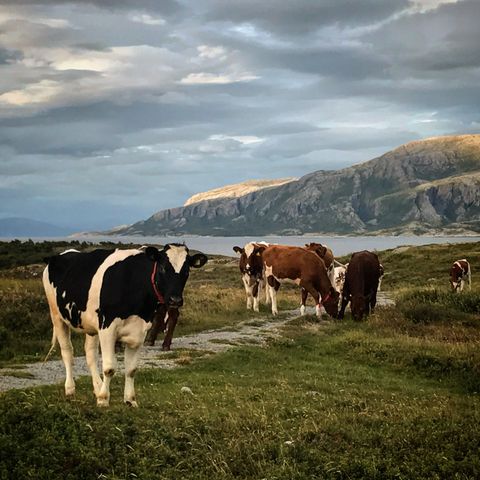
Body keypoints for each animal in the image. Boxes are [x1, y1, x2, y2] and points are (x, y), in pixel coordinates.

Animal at [45, 244, 208, 404]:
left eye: (186, 270)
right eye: (162, 267)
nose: (175, 300)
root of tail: (63, 254)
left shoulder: (139, 331)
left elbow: (131, 369)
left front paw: (130, 400)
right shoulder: (107, 328)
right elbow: (109, 368)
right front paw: (103, 399)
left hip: (90, 324)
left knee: (90, 354)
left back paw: (97, 388)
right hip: (56, 315)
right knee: (67, 352)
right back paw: (70, 389)